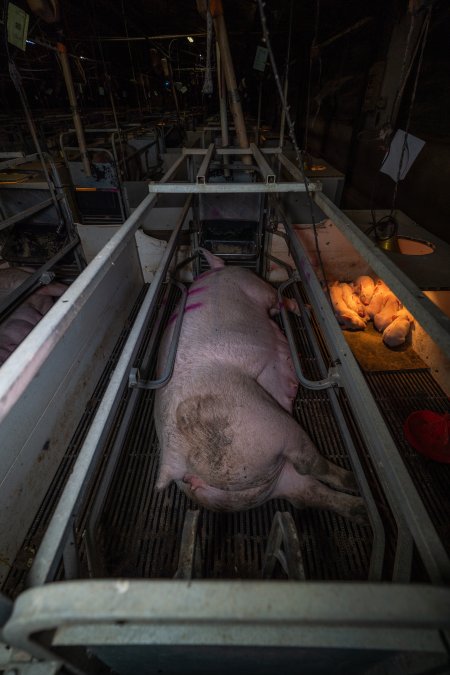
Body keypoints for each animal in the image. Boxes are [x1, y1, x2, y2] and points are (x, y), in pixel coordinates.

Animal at [155, 252, 366, 524]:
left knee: (308, 493)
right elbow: (279, 300)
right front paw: (304, 308)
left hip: (254, 487)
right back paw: (354, 481)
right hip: (268, 428)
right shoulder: (257, 286)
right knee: (310, 464)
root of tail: (174, 461)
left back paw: (361, 508)